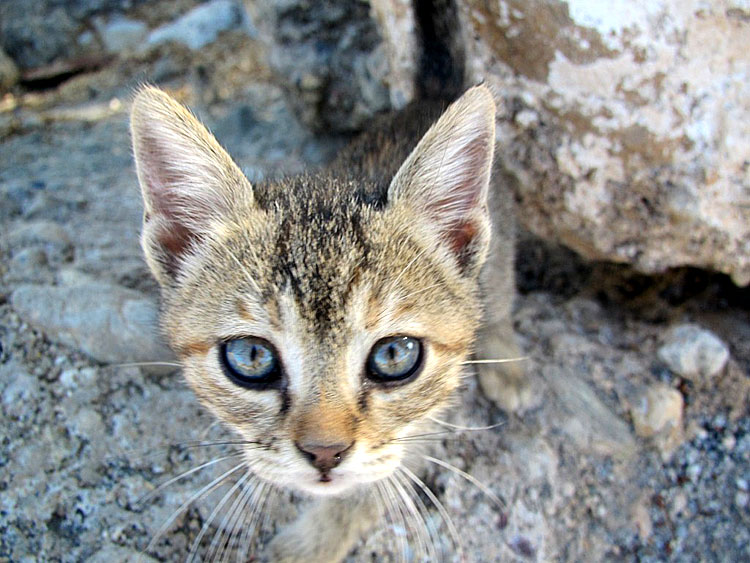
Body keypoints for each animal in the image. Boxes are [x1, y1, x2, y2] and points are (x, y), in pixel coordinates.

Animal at [131, 82, 524, 560]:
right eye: (251, 356)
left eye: (395, 355)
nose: (324, 453)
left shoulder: (424, 418)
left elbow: (372, 485)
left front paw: (312, 542)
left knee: (498, 299)